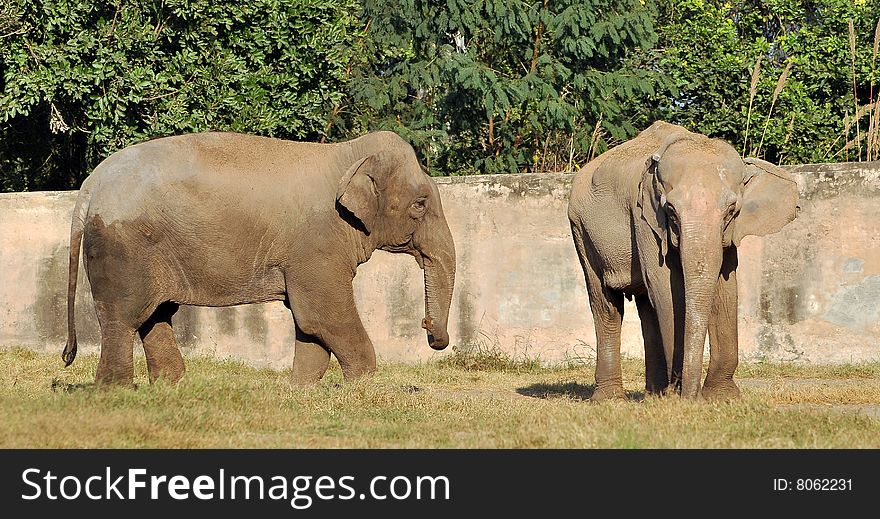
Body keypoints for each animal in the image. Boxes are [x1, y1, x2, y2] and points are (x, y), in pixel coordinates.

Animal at [59, 132, 458, 388]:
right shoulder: (317, 246)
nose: (429, 330)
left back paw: (171, 386)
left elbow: (309, 324)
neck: (347, 155)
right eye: (420, 204)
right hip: (124, 246)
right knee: (124, 318)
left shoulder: (306, 255)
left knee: (155, 314)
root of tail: (91, 184)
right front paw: (362, 389)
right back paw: (115, 392)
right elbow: (322, 316)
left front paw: (299, 392)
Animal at [568, 122, 800, 402]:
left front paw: (722, 398)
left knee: (647, 308)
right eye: (671, 211)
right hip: (581, 230)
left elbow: (725, 290)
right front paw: (680, 396)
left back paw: (654, 397)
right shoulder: (645, 219)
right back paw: (612, 400)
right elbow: (668, 290)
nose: (693, 397)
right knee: (607, 305)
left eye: (731, 210)